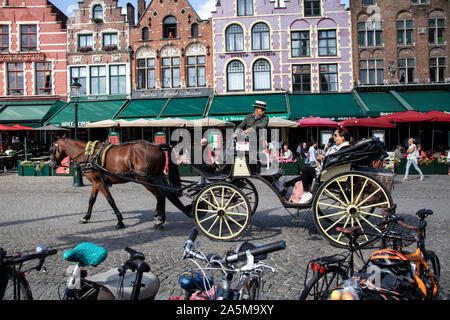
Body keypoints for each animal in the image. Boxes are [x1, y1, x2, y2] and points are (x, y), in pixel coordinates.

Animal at [49, 138, 181, 230]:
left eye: (51, 149)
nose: (51, 164)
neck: (88, 155)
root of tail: (157, 146)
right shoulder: (96, 182)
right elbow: (91, 200)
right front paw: (85, 217)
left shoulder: (99, 183)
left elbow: (110, 201)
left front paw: (120, 221)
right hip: (157, 178)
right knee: (165, 195)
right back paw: (161, 219)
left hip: (146, 180)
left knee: (160, 196)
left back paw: (159, 219)